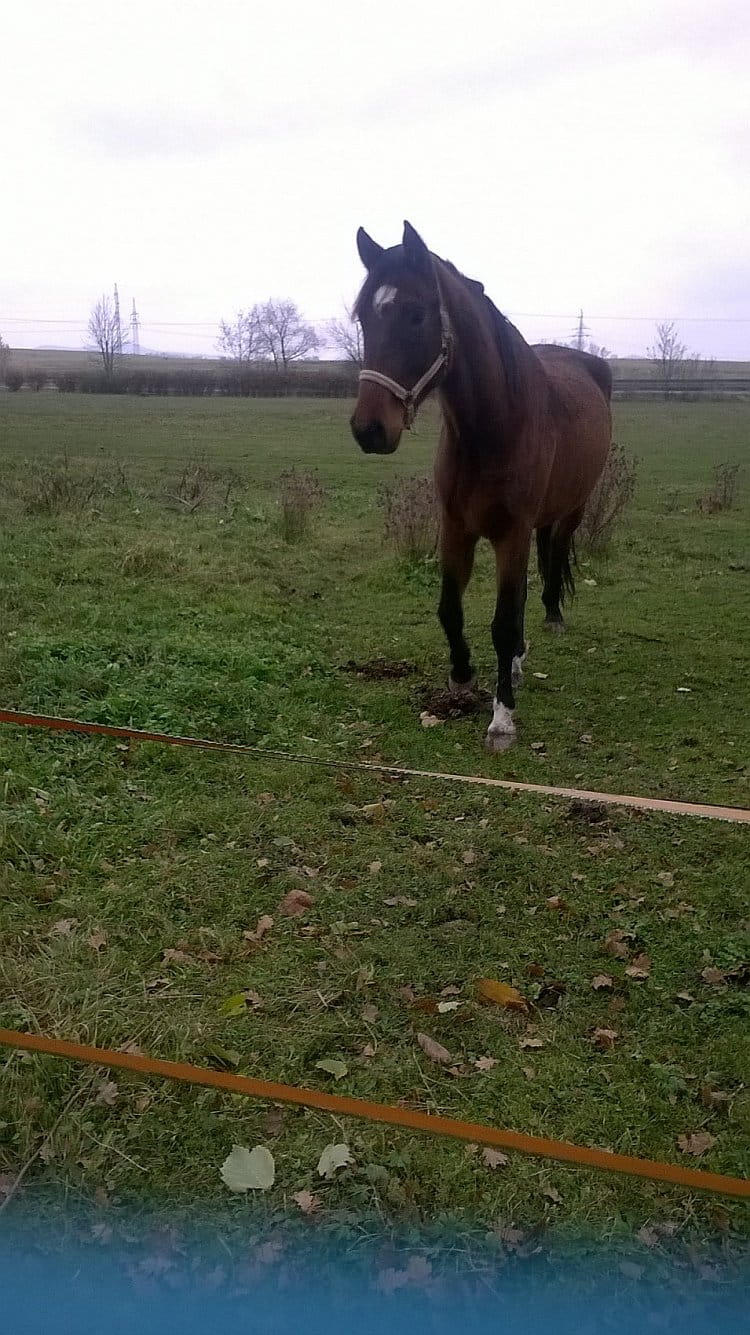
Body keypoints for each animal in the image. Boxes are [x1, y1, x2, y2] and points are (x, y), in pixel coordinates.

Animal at [346, 224, 611, 758]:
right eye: (364, 316)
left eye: (416, 313)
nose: (369, 430)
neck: (492, 428)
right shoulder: (456, 528)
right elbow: (451, 608)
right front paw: (463, 675)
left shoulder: (512, 534)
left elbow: (503, 622)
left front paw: (502, 719)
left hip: (570, 511)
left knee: (552, 563)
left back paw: (550, 620)